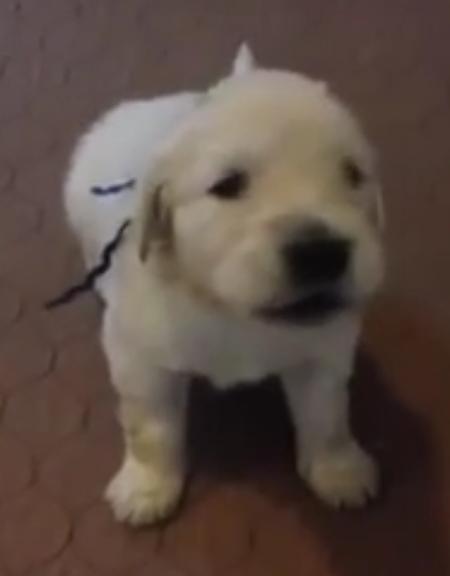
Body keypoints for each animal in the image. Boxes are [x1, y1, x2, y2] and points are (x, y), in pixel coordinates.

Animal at [65, 46, 384, 528]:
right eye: (229, 184)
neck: (230, 309)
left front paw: (338, 469)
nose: (321, 252)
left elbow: (327, 414)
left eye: (352, 175)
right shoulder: (138, 356)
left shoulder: (326, 349)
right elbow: (150, 425)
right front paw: (147, 485)